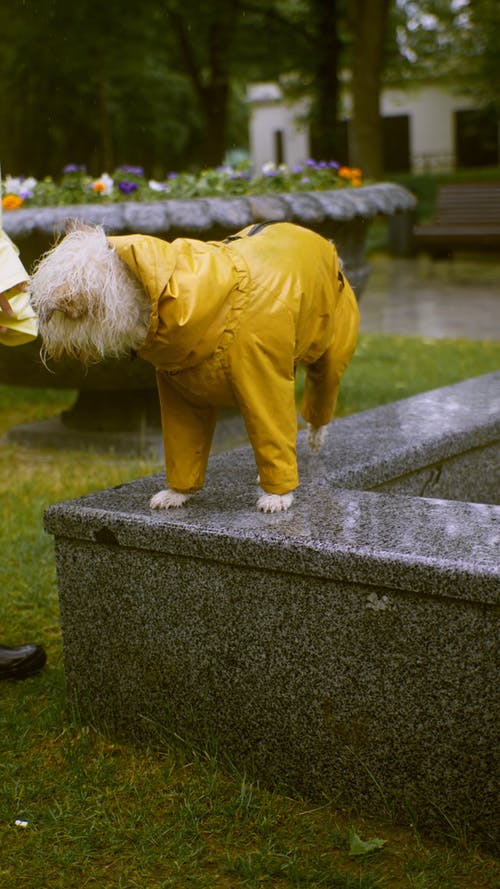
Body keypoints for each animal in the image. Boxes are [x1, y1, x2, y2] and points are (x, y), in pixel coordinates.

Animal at [31, 220, 360, 512]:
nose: (42, 335)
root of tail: (325, 242)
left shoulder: (263, 380)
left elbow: (273, 428)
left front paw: (278, 495)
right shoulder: (180, 394)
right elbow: (184, 447)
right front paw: (177, 493)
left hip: (329, 347)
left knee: (319, 394)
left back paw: (313, 438)